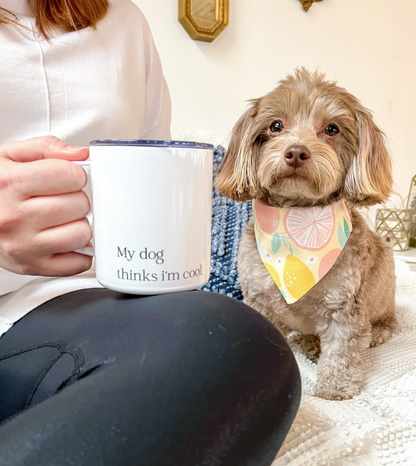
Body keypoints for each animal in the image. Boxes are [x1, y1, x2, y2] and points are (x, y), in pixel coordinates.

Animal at [216, 69, 398, 400]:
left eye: (332, 129)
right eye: (276, 126)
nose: (296, 151)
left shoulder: (345, 305)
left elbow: (342, 350)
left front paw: (334, 389)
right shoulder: (260, 300)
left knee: (382, 326)